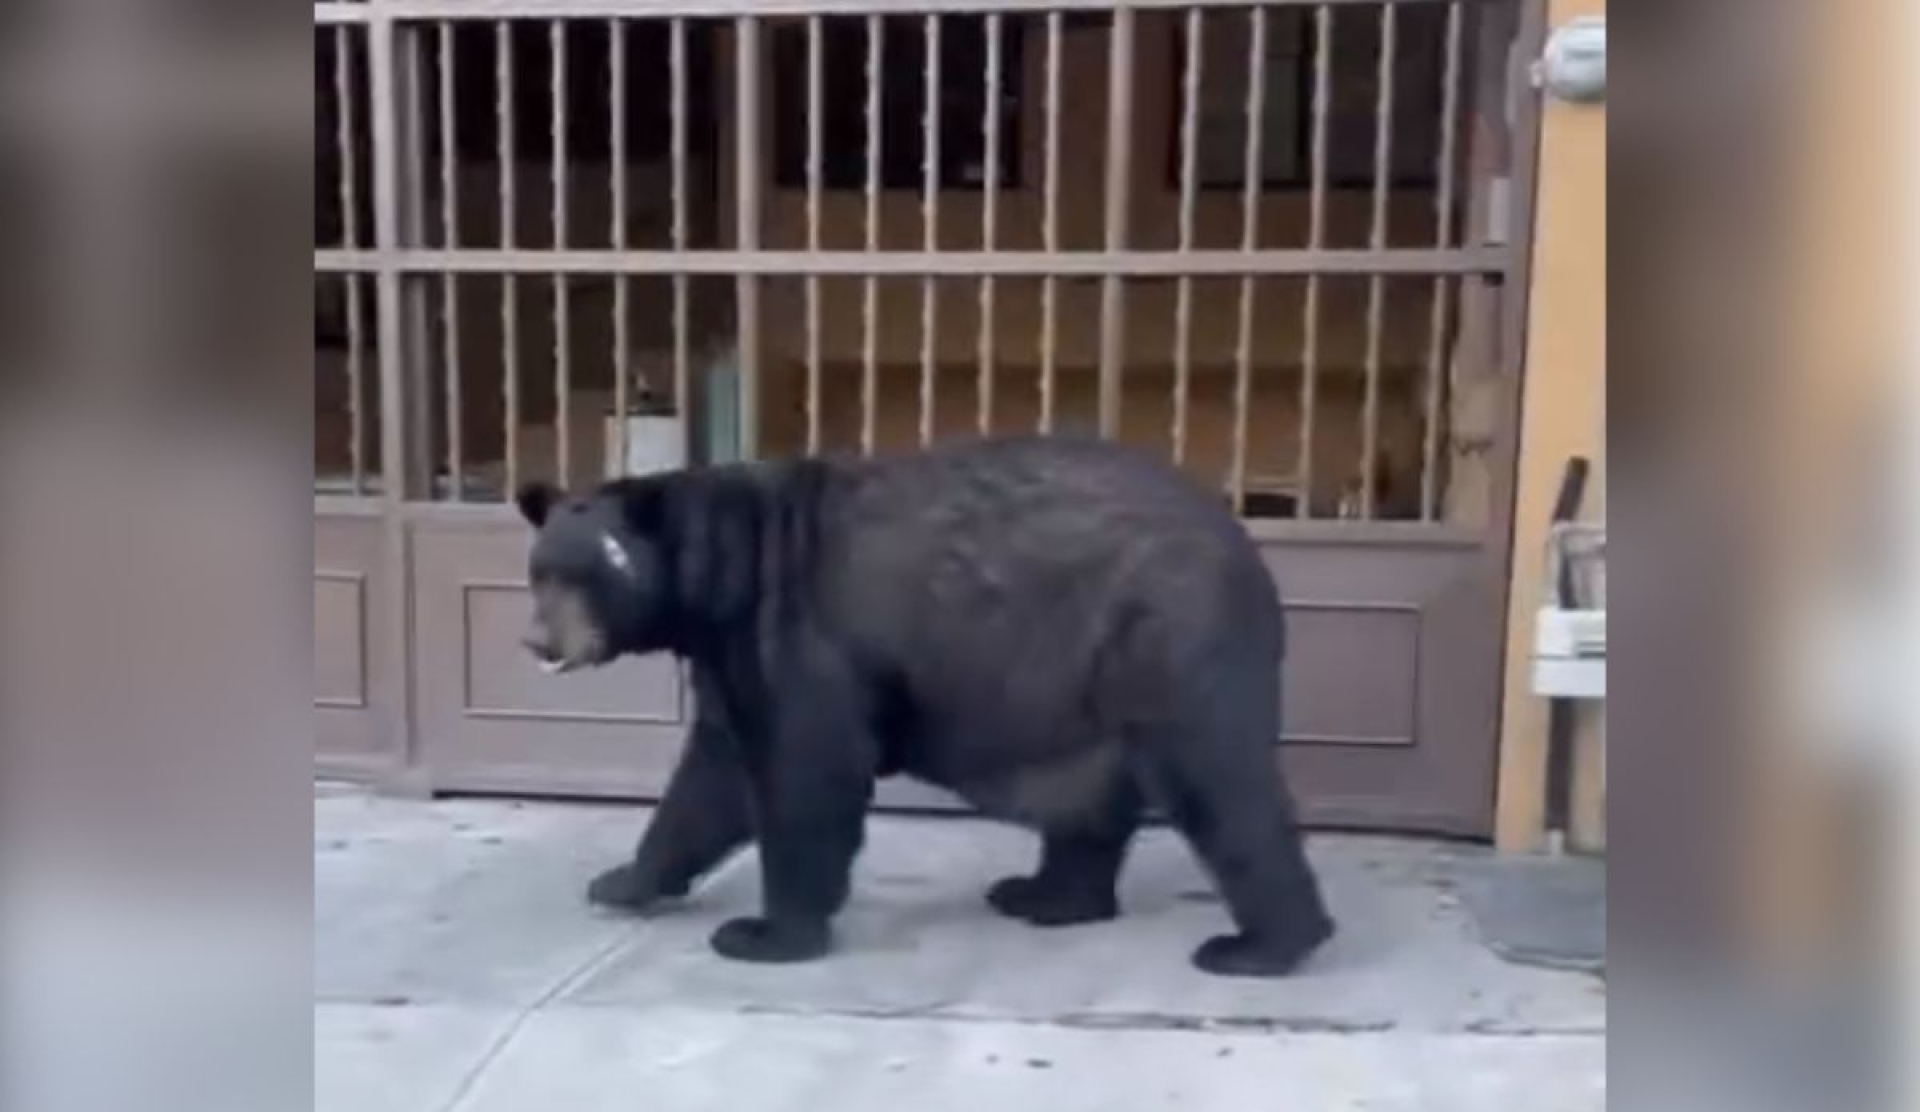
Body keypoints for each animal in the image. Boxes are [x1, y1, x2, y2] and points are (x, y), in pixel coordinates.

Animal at [515, 434, 1335, 977]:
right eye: (538, 572)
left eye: (588, 571)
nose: (538, 641)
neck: (721, 580)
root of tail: (1247, 550)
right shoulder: (729, 651)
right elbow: (709, 778)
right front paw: (622, 882)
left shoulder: (797, 629)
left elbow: (806, 770)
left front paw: (765, 934)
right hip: (1083, 683)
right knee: (1091, 801)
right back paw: (1044, 896)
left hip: (1167, 639)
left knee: (1223, 786)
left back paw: (1260, 945)